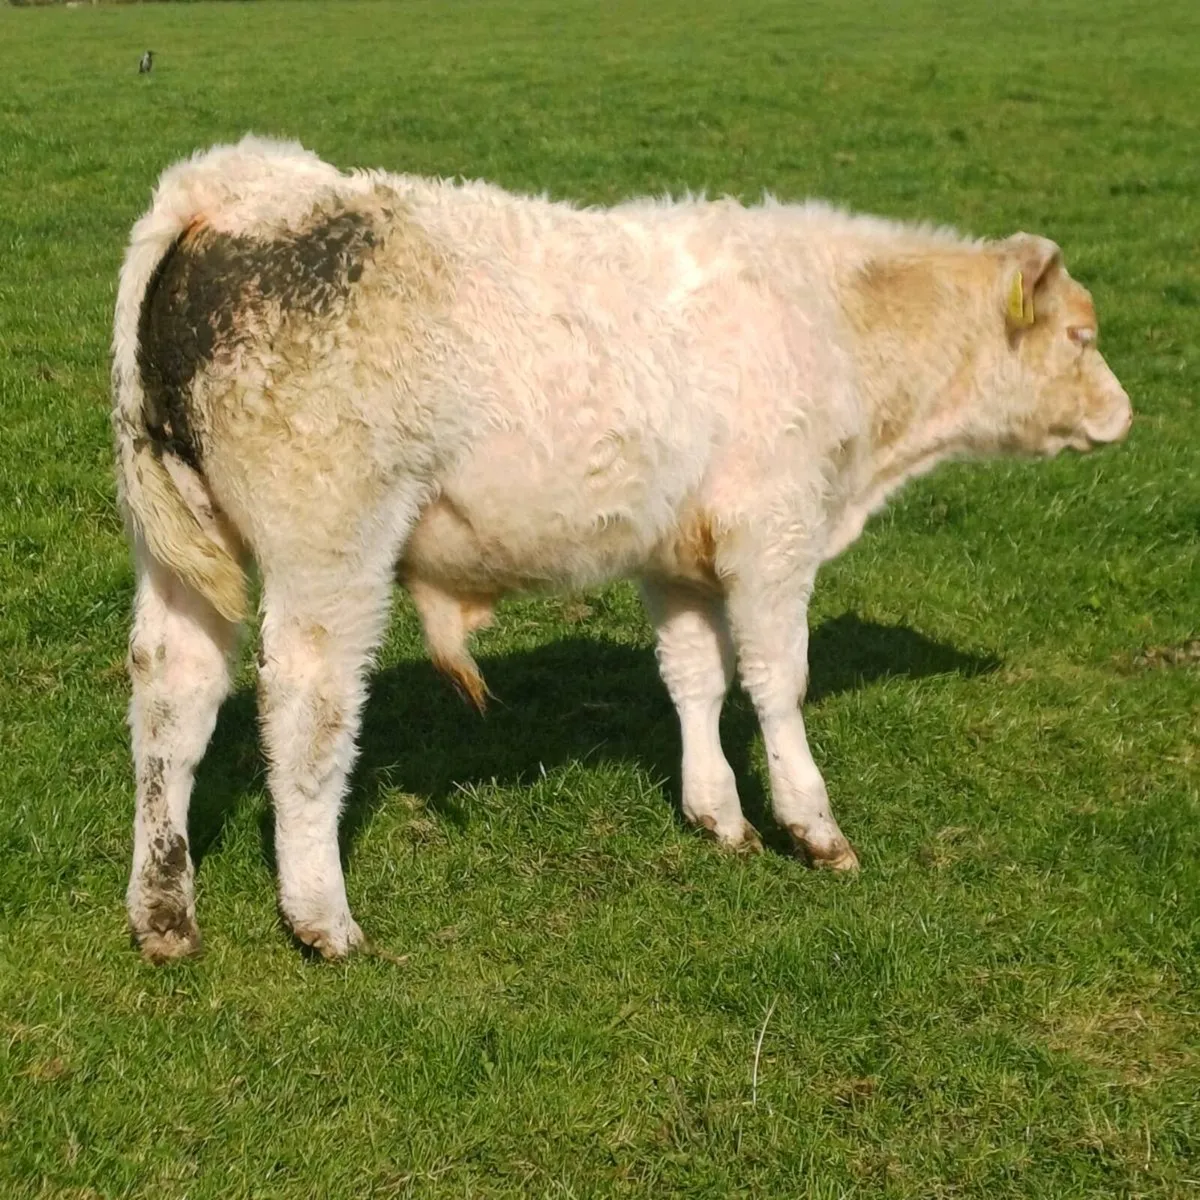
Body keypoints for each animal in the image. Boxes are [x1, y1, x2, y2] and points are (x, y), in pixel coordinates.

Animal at [113, 136, 1132, 962]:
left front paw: (718, 814)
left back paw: (164, 911)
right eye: (1082, 337)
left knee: (172, 696)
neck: (830, 318)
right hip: (331, 549)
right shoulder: (774, 533)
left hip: (183, 556)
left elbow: (694, 677)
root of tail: (236, 185)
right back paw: (322, 916)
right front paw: (812, 826)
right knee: (307, 709)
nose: (1125, 413)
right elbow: (778, 681)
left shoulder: (675, 556)